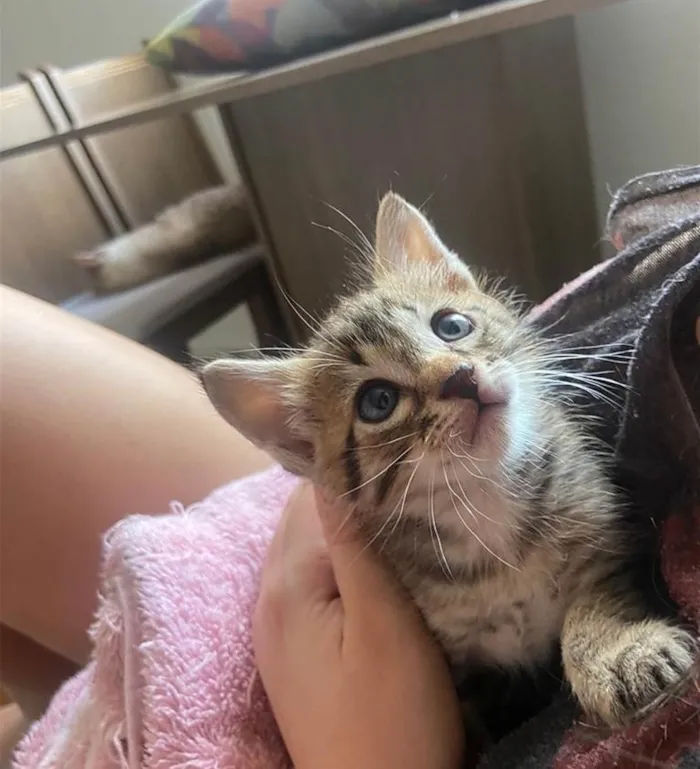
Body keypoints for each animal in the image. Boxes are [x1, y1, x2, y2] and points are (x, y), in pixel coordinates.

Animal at [201, 192, 697, 734]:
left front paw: (621, 653)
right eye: (377, 401)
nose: (460, 377)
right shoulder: (465, 673)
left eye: (451, 326)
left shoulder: (607, 547)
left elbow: (594, 604)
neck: (487, 509)